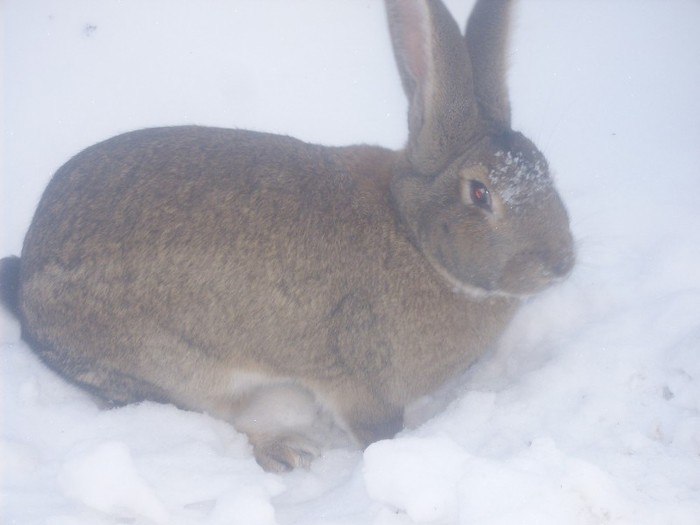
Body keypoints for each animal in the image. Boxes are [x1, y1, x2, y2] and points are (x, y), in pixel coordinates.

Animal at [0, 0, 576, 472]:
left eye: (545, 170)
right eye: (479, 194)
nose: (562, 263)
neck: (413, 235)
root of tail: (26, 290)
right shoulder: (358, 379)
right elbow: (375, 427)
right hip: (174, 366)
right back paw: (286, 451)